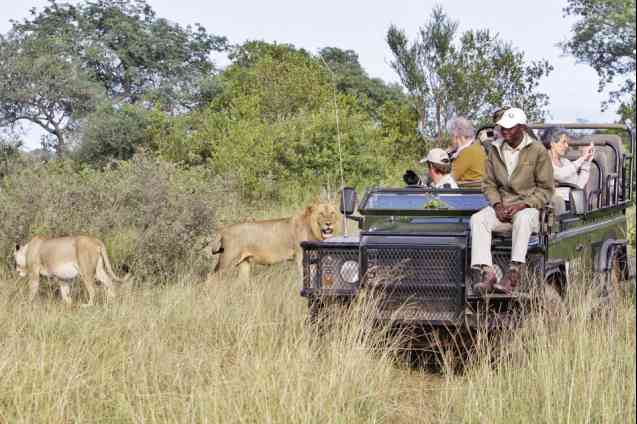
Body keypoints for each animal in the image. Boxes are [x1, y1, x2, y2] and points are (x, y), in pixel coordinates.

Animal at [209, 203, 338, 282]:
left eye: (332, 213)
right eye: (321, 213)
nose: (329, 224)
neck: (313, 230)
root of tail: (224, 229)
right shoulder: (300, 257)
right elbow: (304, 275)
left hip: (244, 262)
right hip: (228, 260)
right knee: (211, 276)